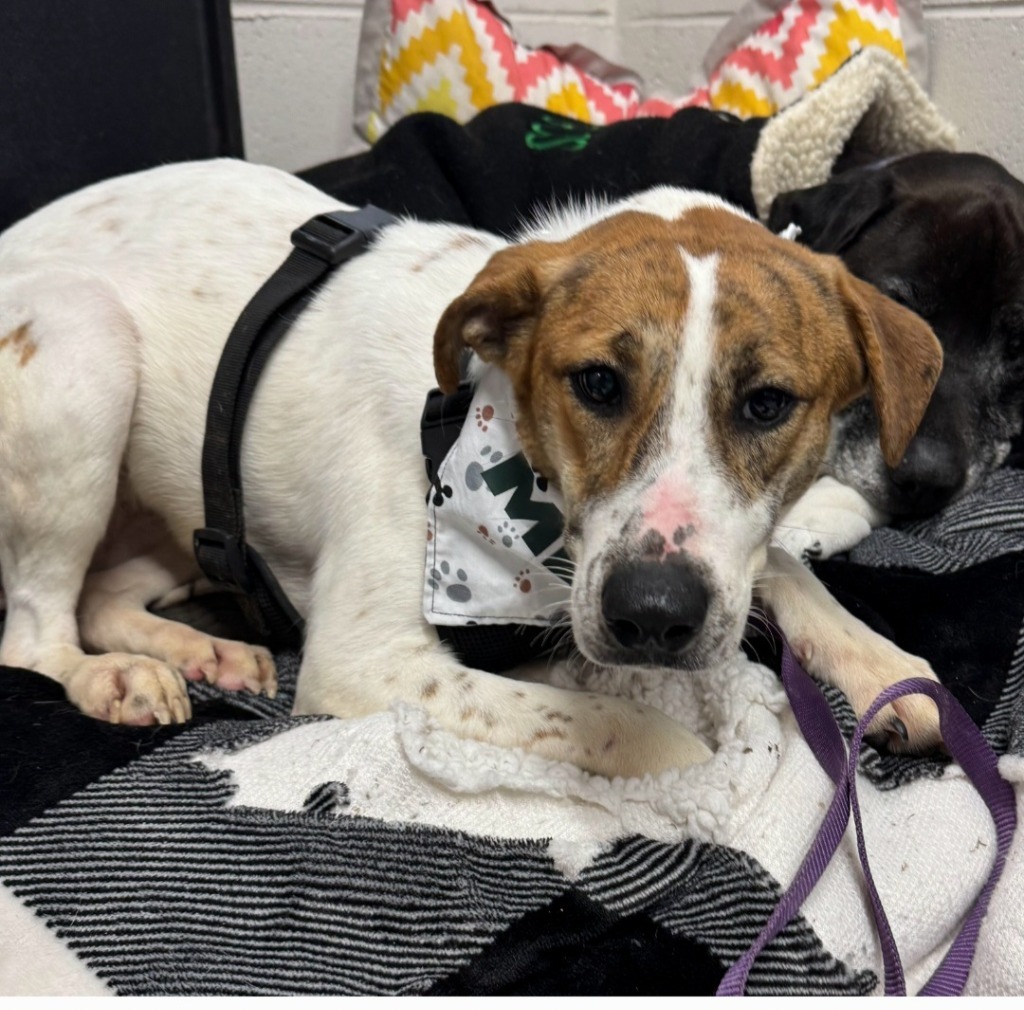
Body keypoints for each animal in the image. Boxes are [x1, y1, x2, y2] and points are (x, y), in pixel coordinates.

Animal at [0, 159, 942, 770]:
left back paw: (198, 652)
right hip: (85, 343)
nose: (653, 613)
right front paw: (666, 742)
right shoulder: (365, 662)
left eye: (767, 404)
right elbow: (610, 722)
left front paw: (883, 667)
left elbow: (784, 565)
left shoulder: (720, 556)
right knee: (35, 633)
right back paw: (110, 677)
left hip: (178, 506)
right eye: (597, 383)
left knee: (102, 593)